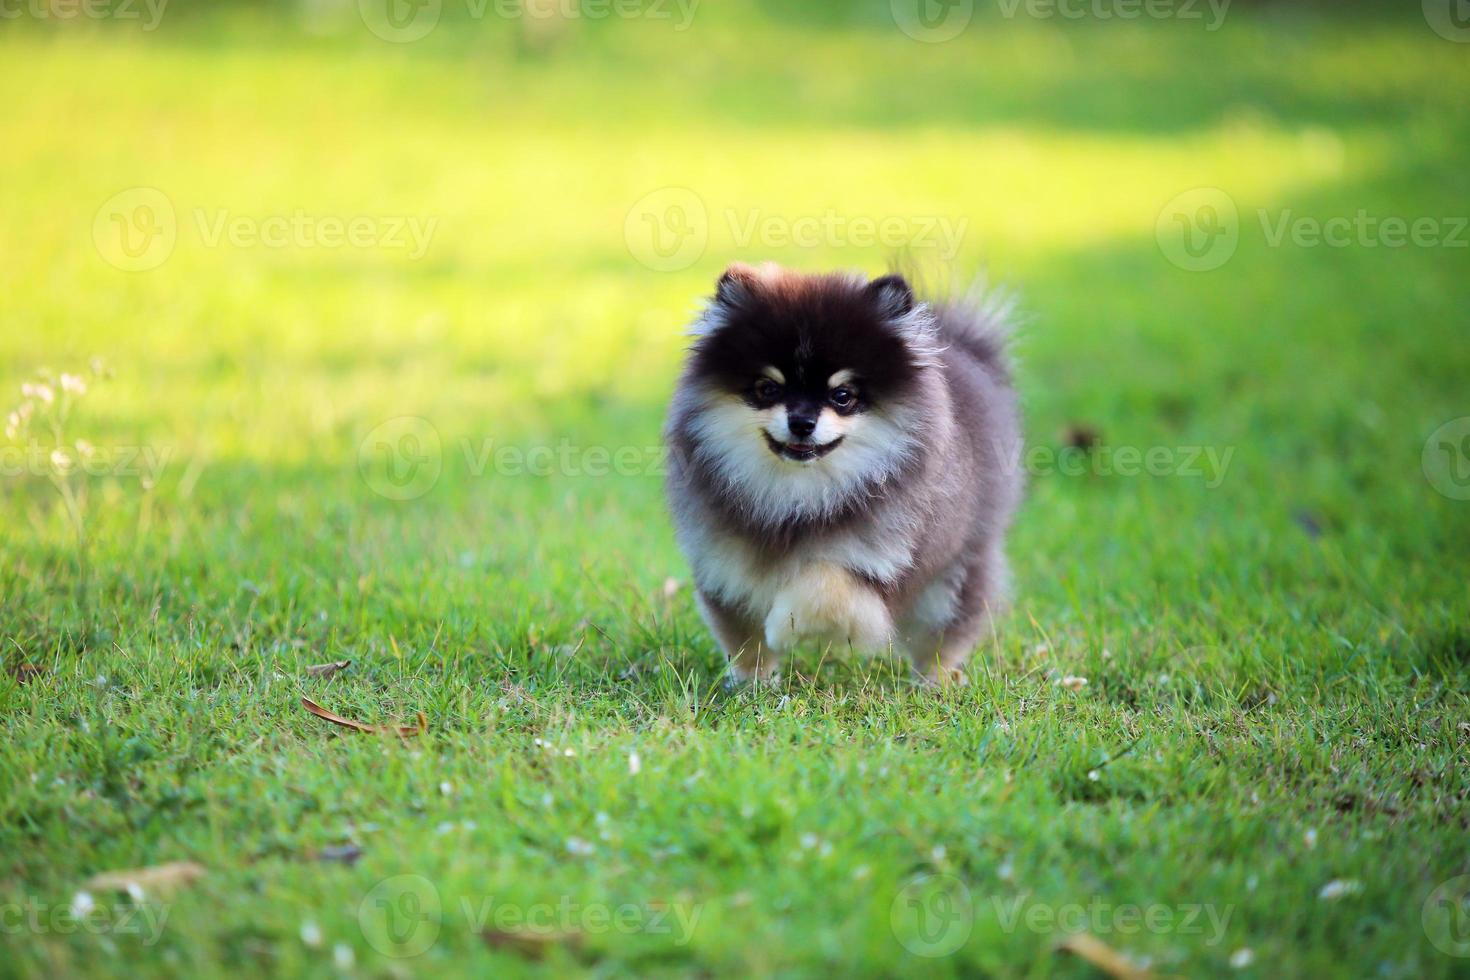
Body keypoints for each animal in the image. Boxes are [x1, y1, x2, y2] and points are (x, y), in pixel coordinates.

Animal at [667, 264, 1023, 687]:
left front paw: (785, 624)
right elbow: (745, 635)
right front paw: (753, 680)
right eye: (767, 388)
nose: (802, 422)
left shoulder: (878, 559)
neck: (798, 493)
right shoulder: (724, 565)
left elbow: (823, 586)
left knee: (946, 629)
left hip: (957, 568)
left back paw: (935, 679)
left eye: (842, 396)